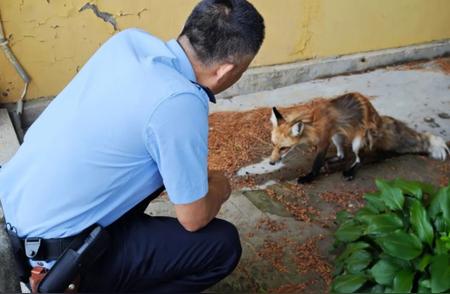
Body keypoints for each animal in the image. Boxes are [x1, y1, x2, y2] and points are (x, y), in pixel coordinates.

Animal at [268, 92, 448, 184]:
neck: (313, 124)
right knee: (342, 155)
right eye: (273, 145)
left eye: (283, 148)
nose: (270, 163)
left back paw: (350, 171)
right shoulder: (329, 137)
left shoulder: (324, 140)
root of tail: (377, 116)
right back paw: (332, 161)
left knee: (360, 159)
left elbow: (316, 164)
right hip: (338, 136)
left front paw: (309, 177)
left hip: (357, 141)